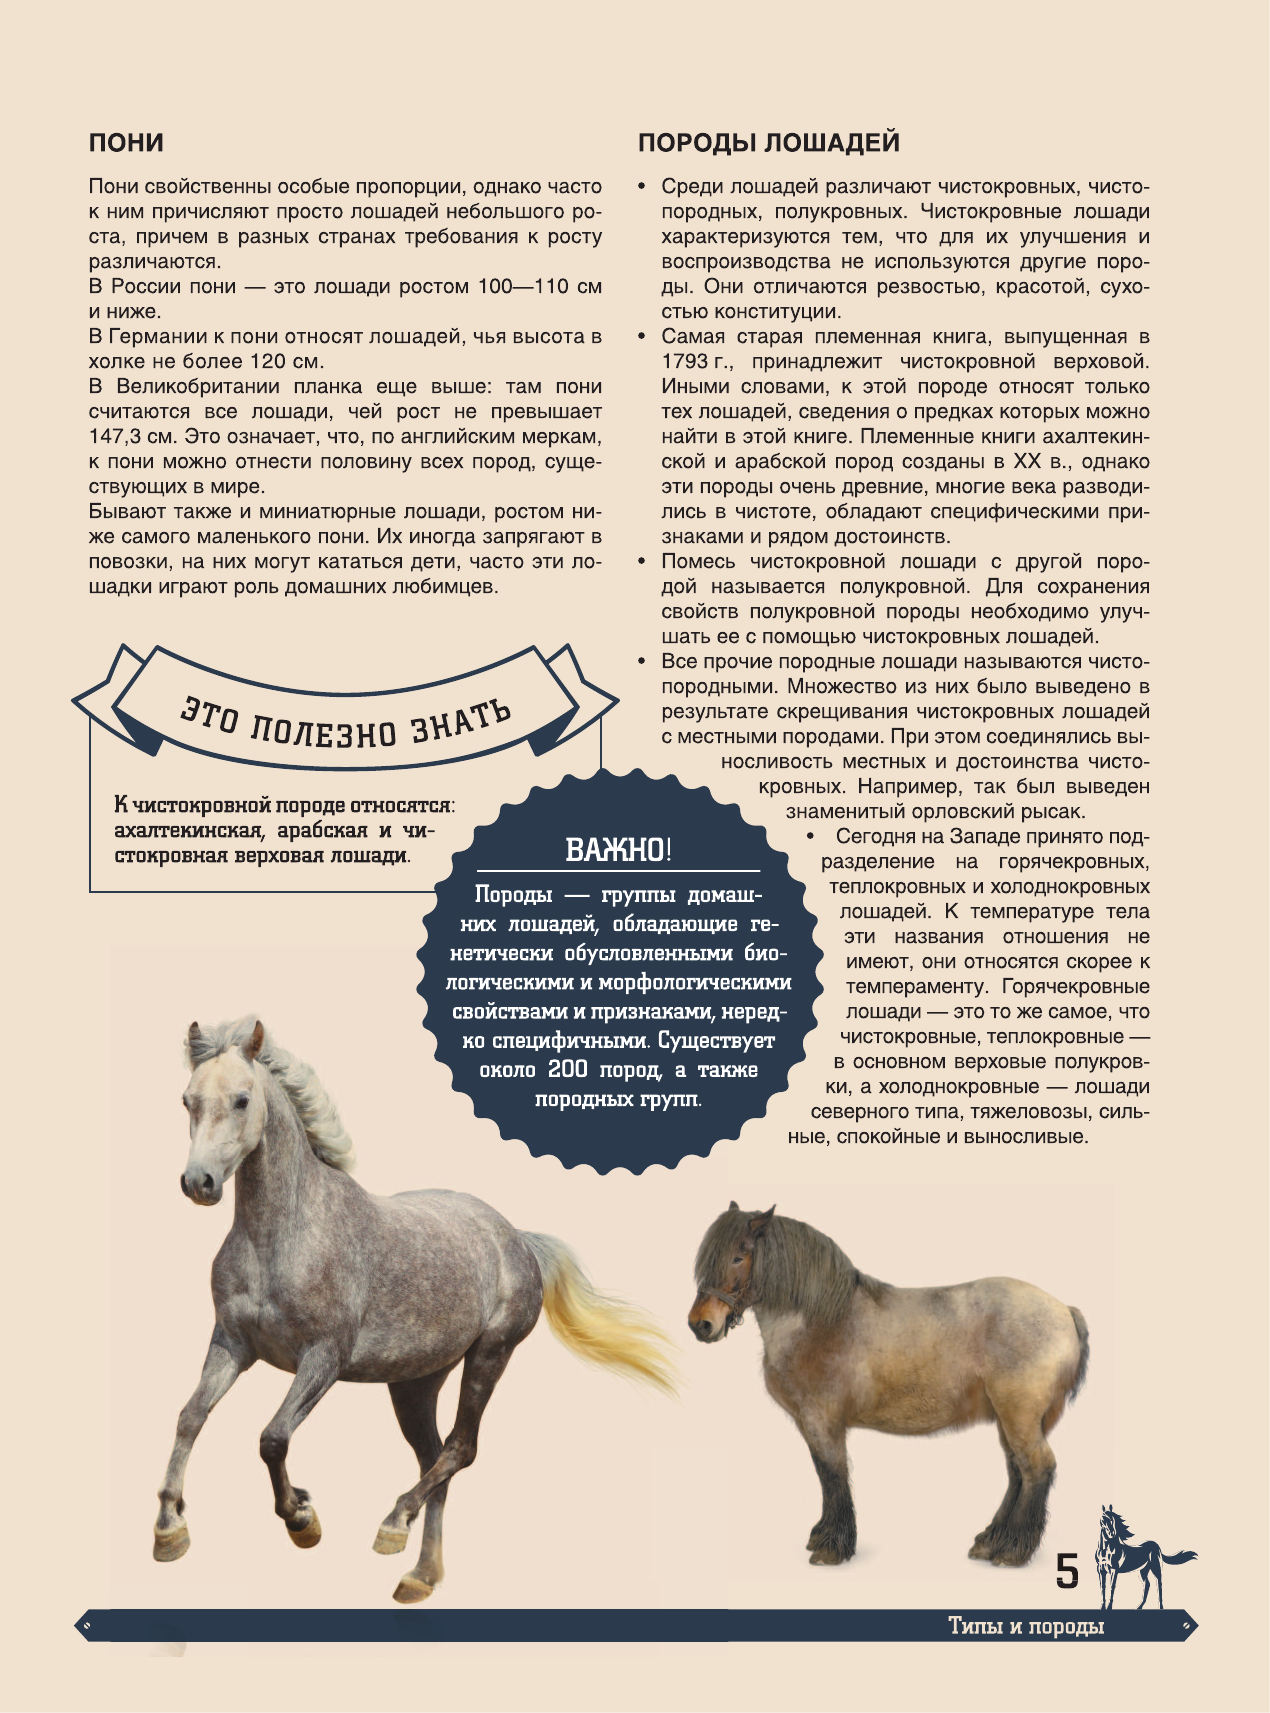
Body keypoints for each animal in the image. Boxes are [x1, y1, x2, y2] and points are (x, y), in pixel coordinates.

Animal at [154, 1016, 676, 1603]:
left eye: (242, 1100)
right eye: (187, 1100)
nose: (198, 1183)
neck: (282, 1237)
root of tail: (516, 1237)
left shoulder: (323, 1359)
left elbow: (272, 1438)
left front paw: (302, 1519)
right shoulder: (232, 1344)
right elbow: (190, 1416)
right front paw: (169, 1529)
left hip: (489, 1356)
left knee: (459, 1450)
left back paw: (393, 1524)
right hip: (415, 1383)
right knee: (435, 1461)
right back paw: (418, 1575)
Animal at [689, 1204, 1089, 1569]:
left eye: (738, 1256)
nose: (700, 1324)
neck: (820, 1321)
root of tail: (1064, 1310)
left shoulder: (822, 1422)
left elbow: (834, 1476)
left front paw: (832, 1548)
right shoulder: (811, 1424)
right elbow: (824, 1476)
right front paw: (824, 1535)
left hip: (1019, 1416)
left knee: (1037, 1468)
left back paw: (1013, 1550)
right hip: (1010, 1420)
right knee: (1016, 1472)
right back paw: (991, 1541)